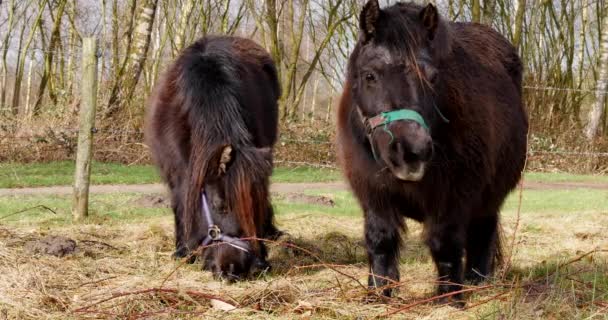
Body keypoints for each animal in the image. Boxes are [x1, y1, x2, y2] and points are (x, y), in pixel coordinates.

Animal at [334, 0, 528, 304]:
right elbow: (380, 240)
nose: (411, 151)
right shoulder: (373, 194)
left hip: (489, 197)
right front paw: (378, 293)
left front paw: (449, 298)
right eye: (370, 76)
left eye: (433, 77)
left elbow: (445, 243)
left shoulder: (453, 197)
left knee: (482, 232)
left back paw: (477, 281)